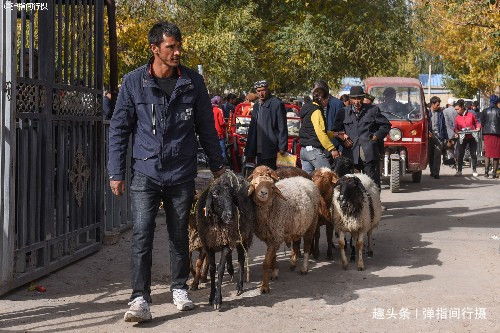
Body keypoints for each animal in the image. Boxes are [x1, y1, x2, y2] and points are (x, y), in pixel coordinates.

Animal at [195, 171, 256, 308]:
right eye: (215, 194)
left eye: (232, 196)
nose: (230, 215)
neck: (217, 222)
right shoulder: (208, 245)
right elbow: (212, 269)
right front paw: (211, 296)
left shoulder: (226, 243)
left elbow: (220, 270)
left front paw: (218, 299)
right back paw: (231, 270)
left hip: (243, 235)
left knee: (241, 259)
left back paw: (239, 286)